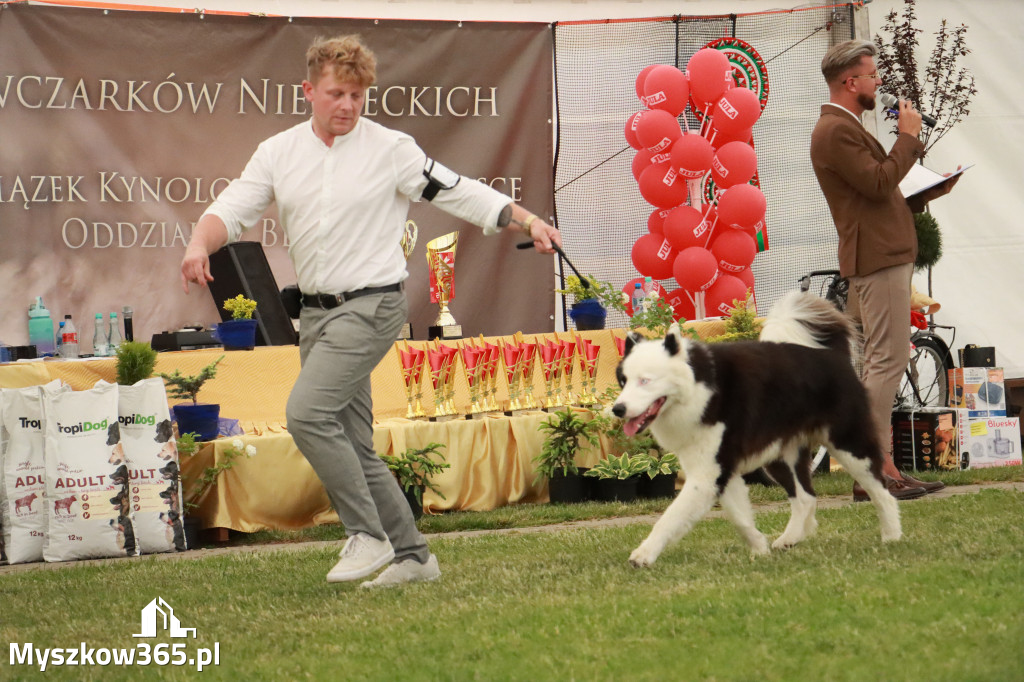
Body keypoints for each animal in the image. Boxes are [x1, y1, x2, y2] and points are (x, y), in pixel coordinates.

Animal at [610, 288, 901, 565]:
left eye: (645, 380)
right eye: (623, 381)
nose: (618, 409)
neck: (698, 387)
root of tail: (832, 355)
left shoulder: (709, 473)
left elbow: (671, 516)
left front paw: (643, 555)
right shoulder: (720, 468)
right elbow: (739, 517)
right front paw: (759, 548)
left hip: (848, 442)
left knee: (880, 491)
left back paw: (891, 536)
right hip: (780, 454)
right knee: (805, 497)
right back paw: (790, 539)